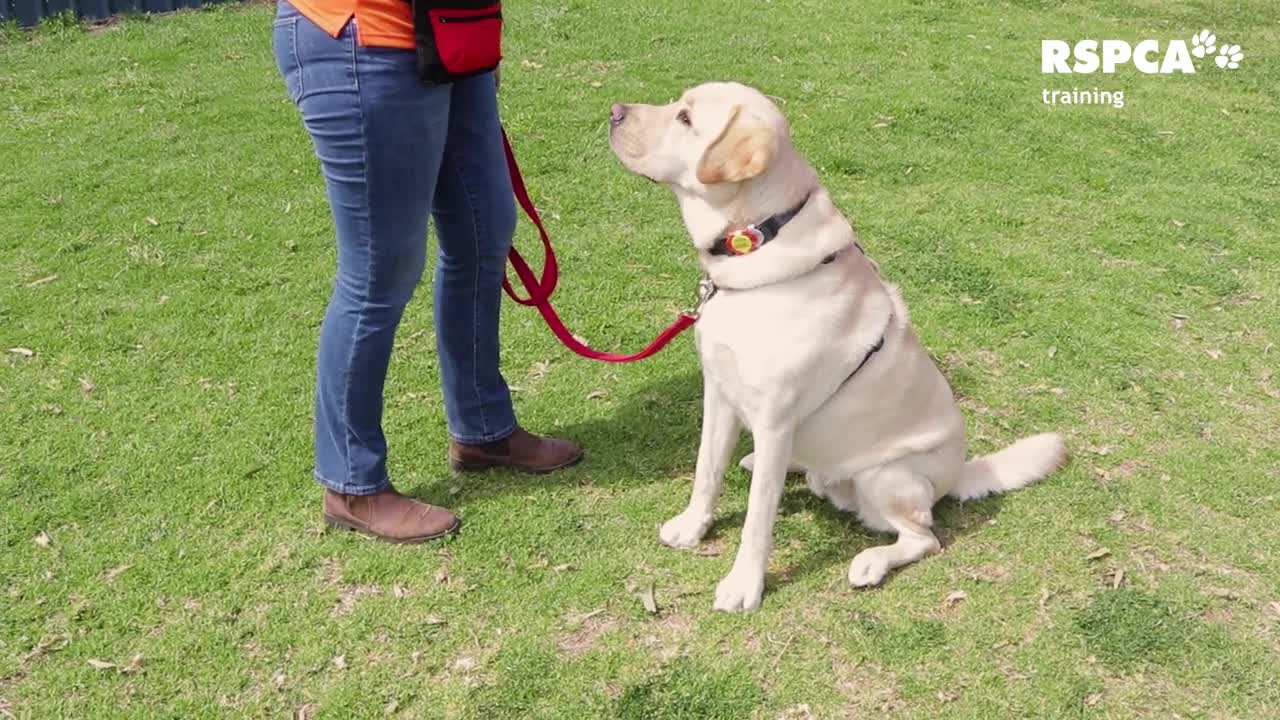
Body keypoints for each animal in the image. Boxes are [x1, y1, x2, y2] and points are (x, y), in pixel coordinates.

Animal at [609, 83, 1070, 609]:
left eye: (685, 119)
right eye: (676, 103)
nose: (614, 112)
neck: (761, 240)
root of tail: (959, 472)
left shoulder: (775, 420)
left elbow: (757, 521)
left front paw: (744, 585)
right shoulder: (720, 393)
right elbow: (707, 471)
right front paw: (691, 528)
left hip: (887, 476)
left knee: (924, 537)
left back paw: (872, 562)